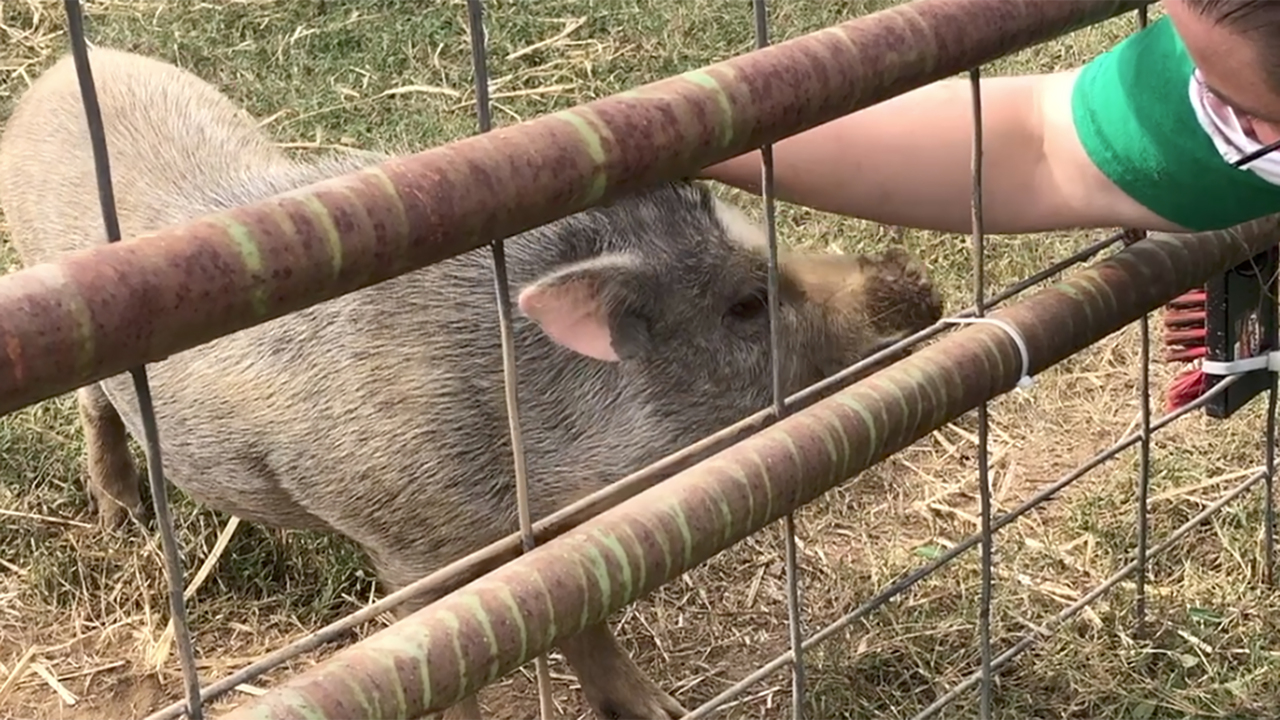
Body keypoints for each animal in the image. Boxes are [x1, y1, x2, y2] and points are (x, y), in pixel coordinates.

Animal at [0, 46, 943, 719]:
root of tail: (60, 73)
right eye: (746, 305)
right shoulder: (405, 541)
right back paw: (121, 522)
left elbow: (583, 615)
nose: (918, 290)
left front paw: (663, 712)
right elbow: (452, 664)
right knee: (96, 412)